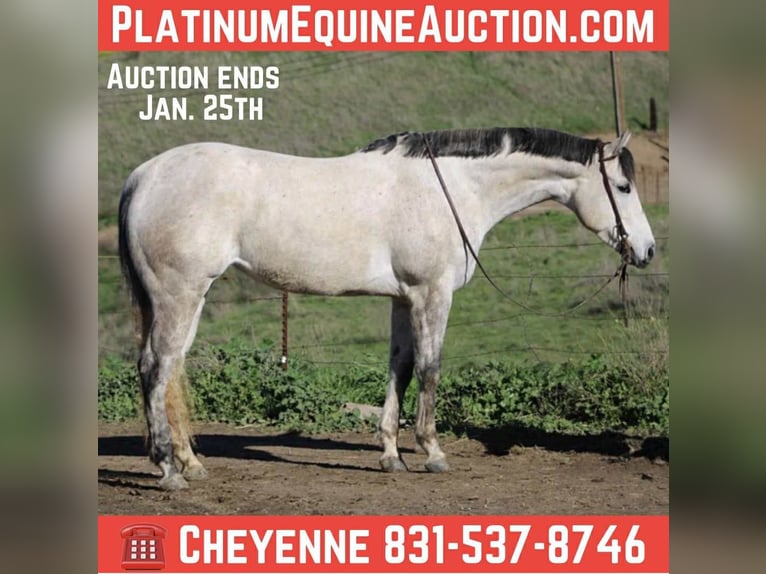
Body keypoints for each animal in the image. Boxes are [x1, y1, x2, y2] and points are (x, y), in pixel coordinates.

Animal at [118, 127, 655, 490]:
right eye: (623, 187)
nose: (647, 250)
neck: (451, 188)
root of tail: (142, 177)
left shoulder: (403, 297)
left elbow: (399, 367)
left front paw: (392, 455)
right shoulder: (432, 293)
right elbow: (430, 368)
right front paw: (432, 452)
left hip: (185, 299)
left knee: (172, 370)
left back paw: (190, 463)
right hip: (179, 294)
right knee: (155, 369)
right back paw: (167, 469)